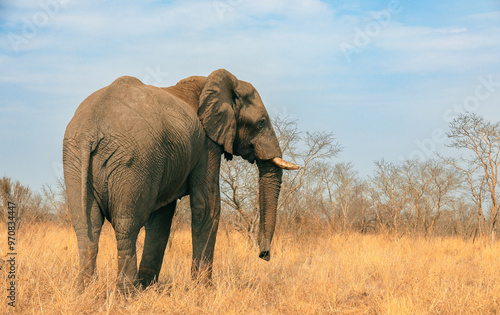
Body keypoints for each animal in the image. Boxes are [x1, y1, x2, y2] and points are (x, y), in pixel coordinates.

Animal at [62, 68, 296, 292]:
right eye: (261, 123)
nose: (264, 255)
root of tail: (90, 131)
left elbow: (162, 217)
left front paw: (149, 287)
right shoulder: (206, 145)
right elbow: (207, 207)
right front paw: (203, 290)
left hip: (75, 160)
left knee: (87, 225)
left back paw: (85, 291)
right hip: (131, 163)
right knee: (125, 224)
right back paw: (126, 293)